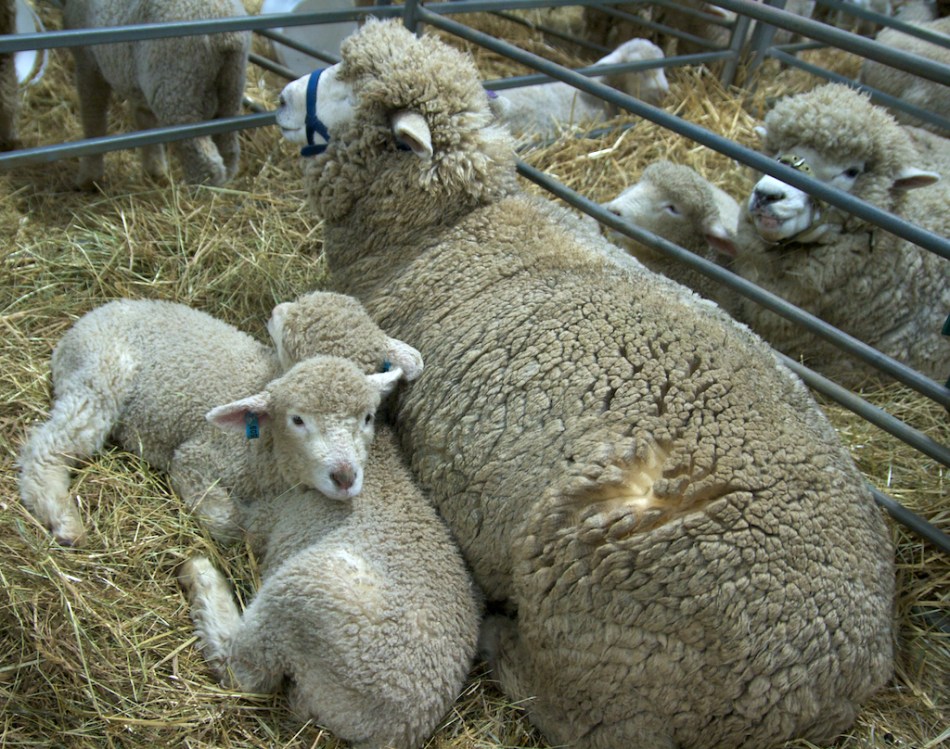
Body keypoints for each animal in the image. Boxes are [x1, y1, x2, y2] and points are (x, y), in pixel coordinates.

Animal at [17, 298, 405, 546]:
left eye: (368, 417)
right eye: (297, 420)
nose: (345, 477)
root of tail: (92, 315)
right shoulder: (194, 460)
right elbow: (229, 522)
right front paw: (256, 517)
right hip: (98, 378)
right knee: (48, 448)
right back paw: (63, 519)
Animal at [61, 0, 251, 188]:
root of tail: (226, 39)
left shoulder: (88, 61)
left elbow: (93, 118)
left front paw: (89, 178)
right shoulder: (138, 83)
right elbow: (146, 121)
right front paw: (155, 170)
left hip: (179, 91)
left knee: (205, 164)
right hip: (231, 88)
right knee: (229, 152)